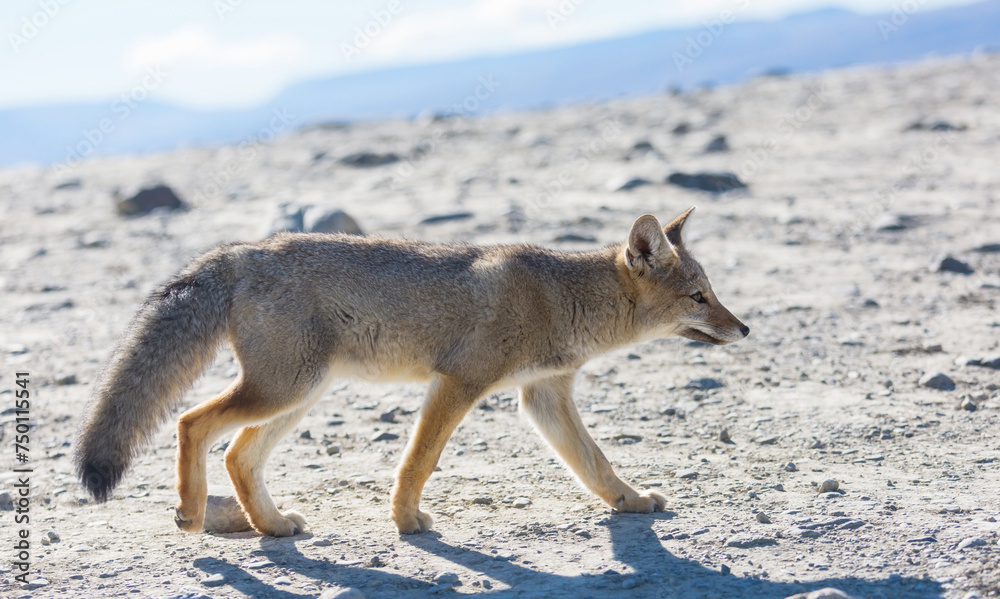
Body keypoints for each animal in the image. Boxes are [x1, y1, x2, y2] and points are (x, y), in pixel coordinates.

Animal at [74, 207, 748, 536]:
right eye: (699, 297)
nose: (744, 330)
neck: (560, 297)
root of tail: (239, 251)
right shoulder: (459, 381)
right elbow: (420, 460)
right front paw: (405, 522)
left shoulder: (543, 395)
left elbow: (595, 463)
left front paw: (630, 502)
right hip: (284, 390)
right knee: (191, 422)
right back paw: (191, 513)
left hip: (298, 395)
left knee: (238, 455)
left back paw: (272, 526)